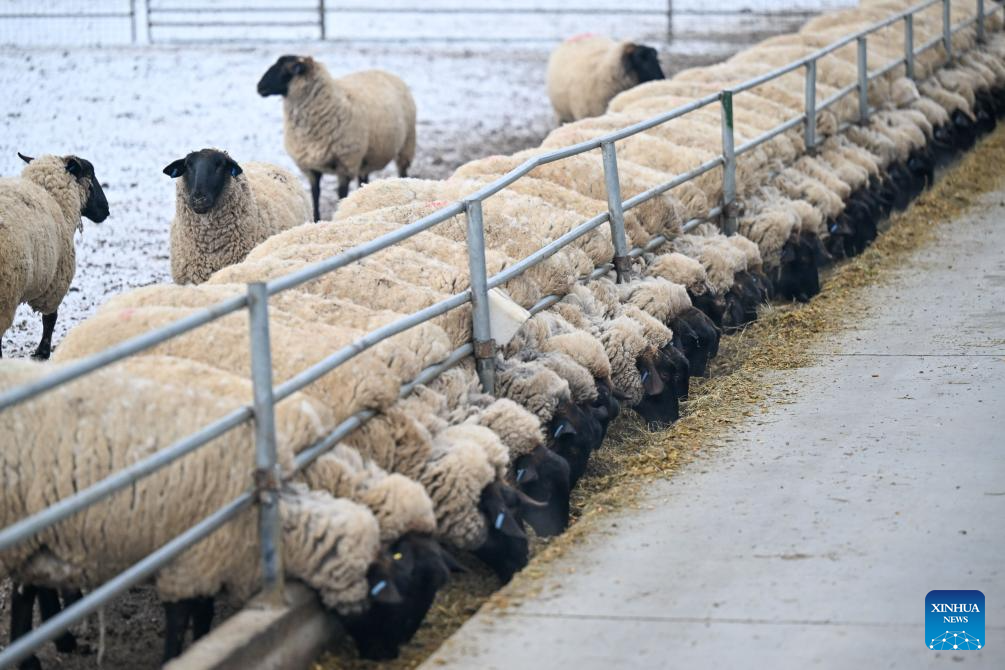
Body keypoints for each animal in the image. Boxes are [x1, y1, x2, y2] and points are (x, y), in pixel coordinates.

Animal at [257, 55, 416, 221]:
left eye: (289, 68)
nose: (259, 87)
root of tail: (385, 72)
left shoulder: (345, 164)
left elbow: (341, 194)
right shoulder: (311, 167)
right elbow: (315, 193)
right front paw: (316, 218)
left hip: (407, 143)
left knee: (403, 170)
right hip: (366, 157)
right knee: (363, 179)